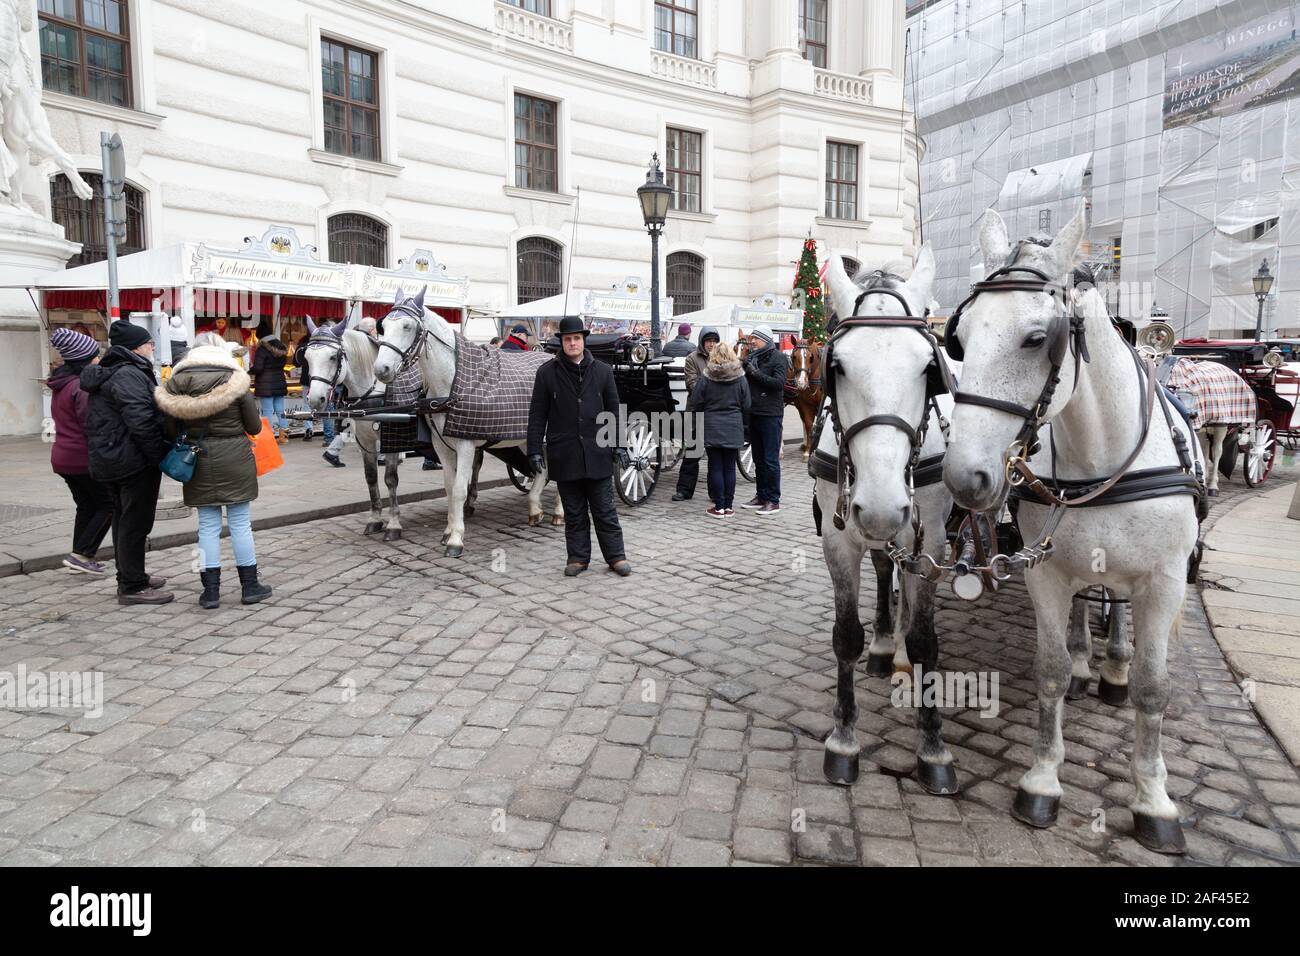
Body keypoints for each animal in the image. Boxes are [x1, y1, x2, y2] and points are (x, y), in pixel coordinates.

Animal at [301, 317, 408, 541]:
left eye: (333, 356)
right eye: (306, 357)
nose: (314, 399)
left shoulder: (392, 438)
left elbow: (390, 479)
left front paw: (394, 523)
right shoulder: (365, 441)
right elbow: (371, 477)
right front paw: (375, 519)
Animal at [374, 287, 561, 556]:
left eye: (407, 326)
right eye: (383, 326)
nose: (382, 369)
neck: (451, 383)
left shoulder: (466, 444)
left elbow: (460, 490)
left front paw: (456, 539)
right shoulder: (442, 446)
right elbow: (449, 488)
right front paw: (448, 530)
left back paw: (559, 510)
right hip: (528, 437)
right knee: (542, 469)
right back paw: (535, 508)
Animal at [816, 247, 961, 790]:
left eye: (928, 367)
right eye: (835, 366)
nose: (881, 507)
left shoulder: (932, 540)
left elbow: (924, 640)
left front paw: (933, 746)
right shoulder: (838, 538)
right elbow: (845, 637)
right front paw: (843, 740)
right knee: (884, 568)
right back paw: (883, 645)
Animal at [941, 200, 1201, 853]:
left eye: (1039, 338)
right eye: (960, 337)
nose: (964, 476)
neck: (1099, 456)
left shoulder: (1165, 581)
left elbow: (1154, 688)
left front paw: (1153, 798)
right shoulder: (1048, 573)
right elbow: (1051, 671)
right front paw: (1042, 779)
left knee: (1119, 616)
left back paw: (1112, 665)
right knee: (1091, 602)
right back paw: (1090, 660)